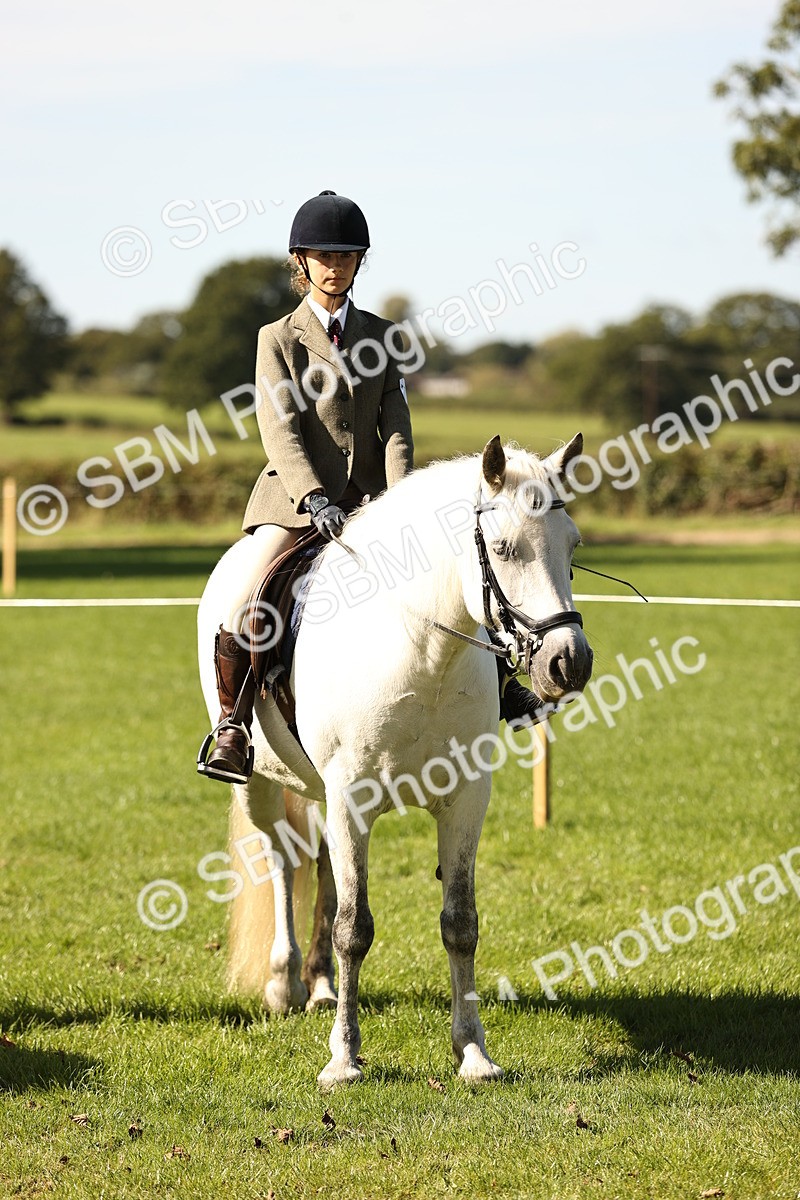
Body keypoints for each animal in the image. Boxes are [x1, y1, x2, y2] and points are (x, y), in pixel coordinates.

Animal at [197, 434, 594, 1087]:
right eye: (503, 549)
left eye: (572, 546)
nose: (569, 662)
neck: (423, 648)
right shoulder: (351, 800)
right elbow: (353, 928)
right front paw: (343, 1059)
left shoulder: (465, 801)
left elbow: (460, 924)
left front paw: (474, 1053)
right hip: (258, 785)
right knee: (282, 861)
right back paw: (284, 984)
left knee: (320, 865)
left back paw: (321, 986)